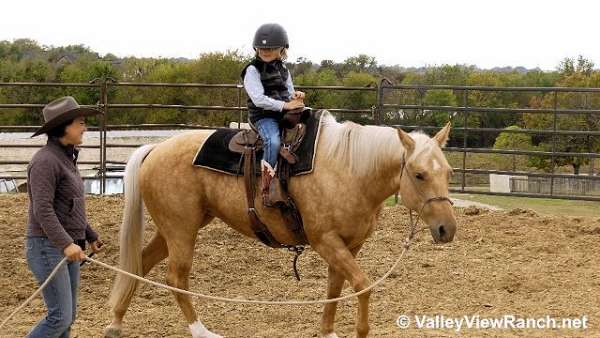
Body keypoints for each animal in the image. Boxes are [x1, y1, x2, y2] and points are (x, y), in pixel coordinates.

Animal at [105, 111, 458, 338]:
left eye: (448, 172)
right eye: (419, 174)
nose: (447, 229)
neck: (350, 169)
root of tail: (156, 148)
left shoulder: (349, 244)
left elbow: (335, 288)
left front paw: (327, 332)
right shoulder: (325, 240)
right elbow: (361, 285)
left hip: (175, 228)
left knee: (140, 263)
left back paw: (116, 323)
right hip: (181, 229)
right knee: (176, 277)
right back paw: (202, 331)